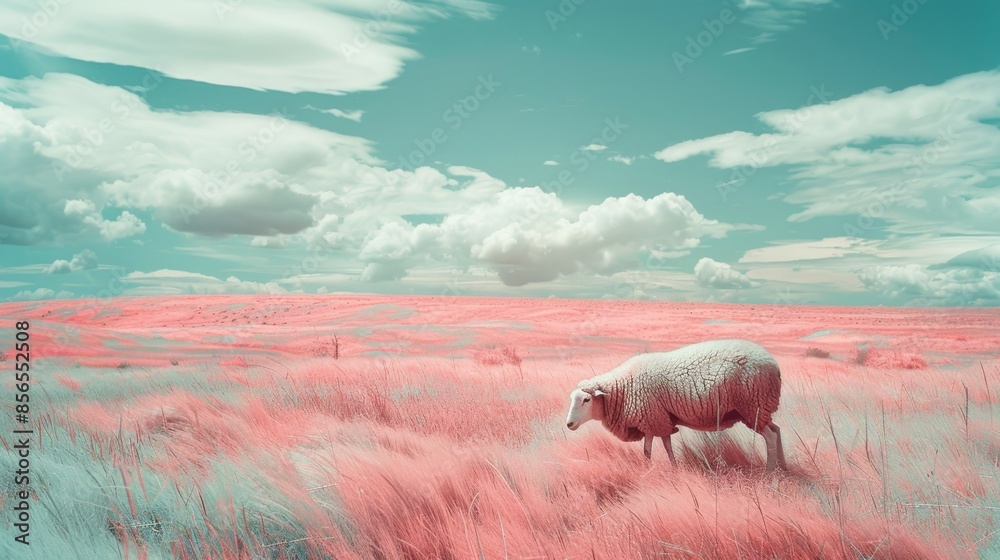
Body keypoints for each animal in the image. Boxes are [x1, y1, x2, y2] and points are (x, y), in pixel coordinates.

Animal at [565, 338, 787, 471]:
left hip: (753, 406)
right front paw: (674, 467)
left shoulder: (651, 419)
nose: (569, 424)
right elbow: (667, 445)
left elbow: (647, 451)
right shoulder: (662, 419)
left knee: (769, 437)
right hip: (758, 409)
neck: (623, 387)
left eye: (586, 400)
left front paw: (647, 469)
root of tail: (774, 365)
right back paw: (783, 467)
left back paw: (769, 473)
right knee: (776, 430)